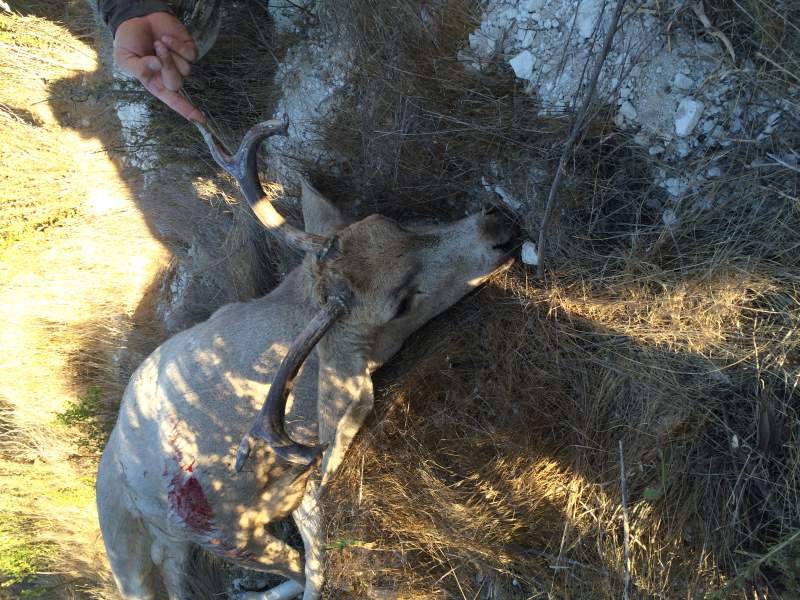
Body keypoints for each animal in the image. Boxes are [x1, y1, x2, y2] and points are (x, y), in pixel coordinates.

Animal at [95, 115, 520, 596]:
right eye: (401, 303)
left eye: (393, 222)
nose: (499, 228)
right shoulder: (300, 472)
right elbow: (316, 560)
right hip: (207, 534)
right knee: (299, 567)